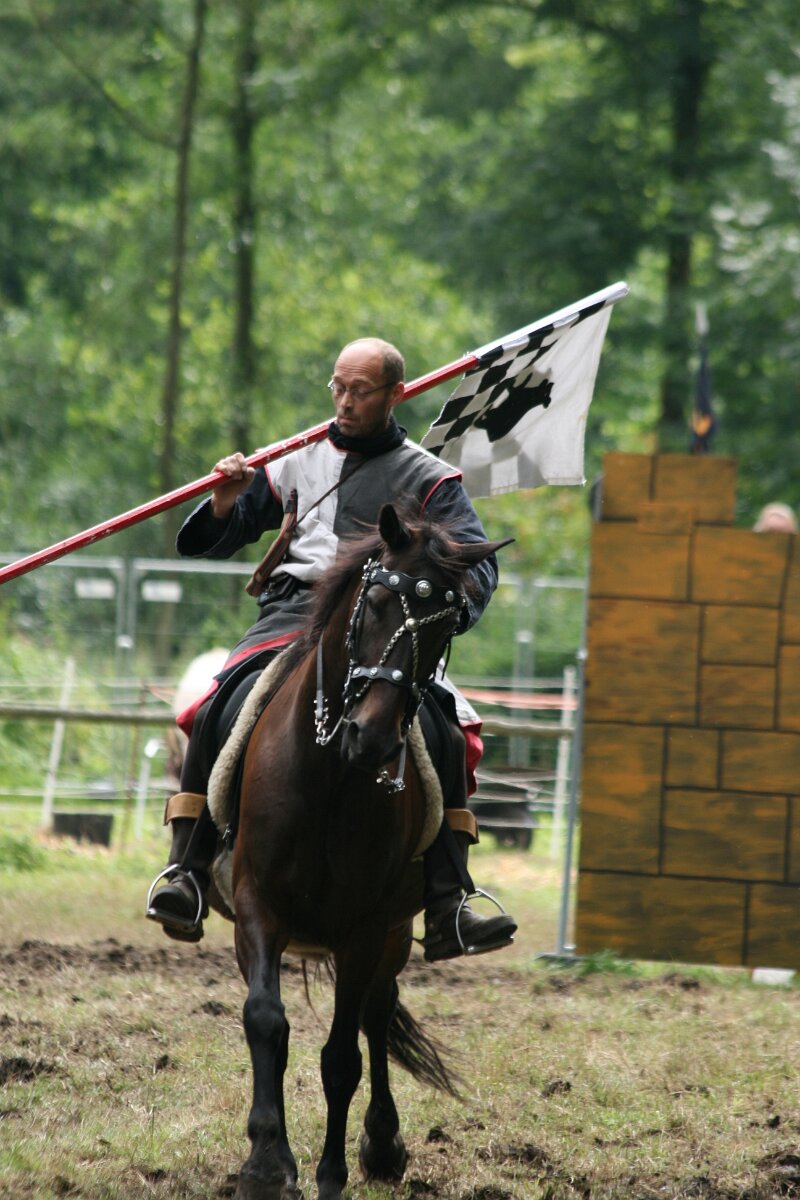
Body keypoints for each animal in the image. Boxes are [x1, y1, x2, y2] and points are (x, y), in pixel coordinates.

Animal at [228, 502, 508, 1200]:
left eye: (443, 629)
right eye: (376, 601)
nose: (374, 739)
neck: (330, 775)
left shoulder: (365, 926)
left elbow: (341, 1057)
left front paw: (330, 1173)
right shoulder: (256, 906)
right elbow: (266, 1019)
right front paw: (267, 1162)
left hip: (394, 929)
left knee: (375, 1017)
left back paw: (382, 1145)